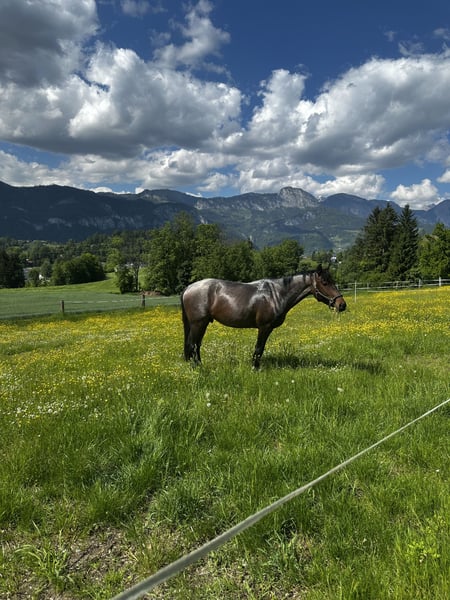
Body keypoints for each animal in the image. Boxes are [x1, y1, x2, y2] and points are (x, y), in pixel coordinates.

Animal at [181, 265, 346, 368]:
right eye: (324, 282)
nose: (342, 305)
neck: (276, 294)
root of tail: (189, 287)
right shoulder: (264, 327)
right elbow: (259, 348)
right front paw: (255, 368)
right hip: (198, 323)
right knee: (193, 345)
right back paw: (197, 367)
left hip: (201, 324)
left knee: (196, 346)